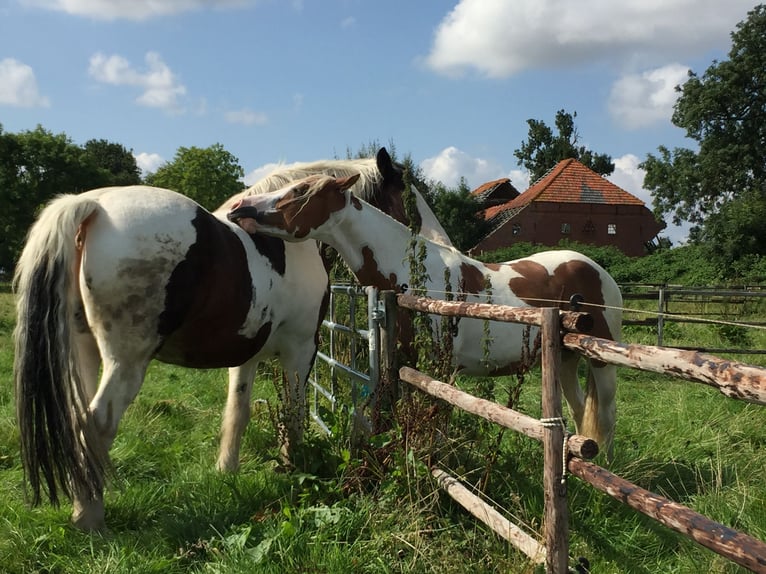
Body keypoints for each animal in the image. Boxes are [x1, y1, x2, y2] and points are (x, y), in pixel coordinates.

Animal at [12, 148, 436, 532]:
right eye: (402, 199)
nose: (413, 252)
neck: (284, 241)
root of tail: (93, 206)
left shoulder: (245, 356)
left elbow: (237, 412)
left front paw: (226, 472)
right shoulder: (301, 351)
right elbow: (295, 414)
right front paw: (294, 467)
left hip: (82, 353)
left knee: (77, 423)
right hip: (125, 363)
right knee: (96, 424)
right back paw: (90, 517)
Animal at [226, 176, 624, 460]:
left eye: (299, 191)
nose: (238, 208)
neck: (414, 278)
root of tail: (596, 269)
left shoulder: (440, 368)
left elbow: (438, 425)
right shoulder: (407, 365)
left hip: (601, 360)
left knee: (606, 414)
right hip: (567, 360)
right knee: (578, 411)